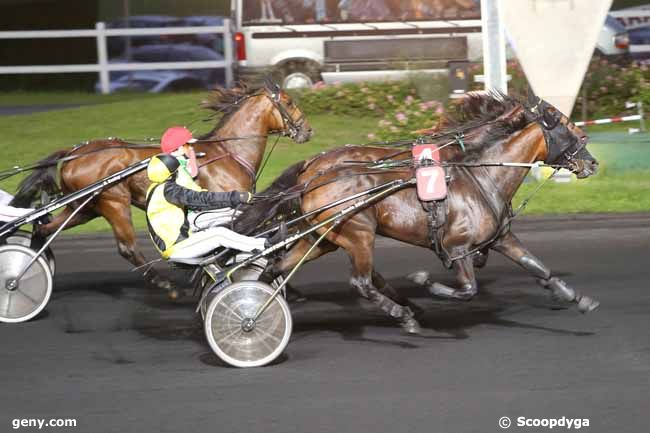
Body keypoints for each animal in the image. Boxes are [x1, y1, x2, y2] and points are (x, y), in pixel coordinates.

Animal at [12, 81, 312, 290]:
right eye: (289, 102)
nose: (307, 130)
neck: (228, 152)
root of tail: (75, 152)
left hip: (84, 207)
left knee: (43, 228)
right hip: (113, 202)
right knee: (128, 247)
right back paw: (163, 282)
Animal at [237, 90, 596, 334]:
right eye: (569, 127)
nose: (591, 162)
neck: (481, 174)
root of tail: (313, 173)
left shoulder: (501, 237)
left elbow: (538, 267)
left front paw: (577, 298)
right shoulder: (457, 247)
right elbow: (468, 289)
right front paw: (426, 283)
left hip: (323, 237)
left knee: (278, 267)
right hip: (358, 232)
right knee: (361, 281)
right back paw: (404, 315)